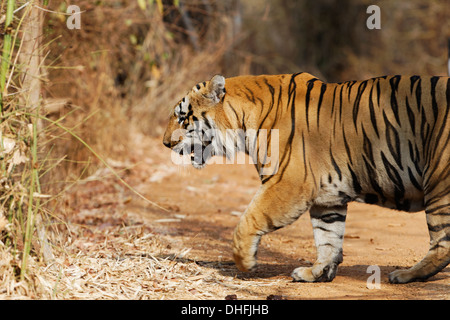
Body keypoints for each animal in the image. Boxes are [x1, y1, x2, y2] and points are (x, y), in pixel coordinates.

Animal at [163, 72, 450, 282]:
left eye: (182, 117)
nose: (165, 143)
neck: (244, 125)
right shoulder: (328, 197)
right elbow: (328, 237)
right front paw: (317, 272)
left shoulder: (287, 183)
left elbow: (249, 219)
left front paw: (245, 261)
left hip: (439, 183)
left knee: (442, 243)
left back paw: (406, 275)